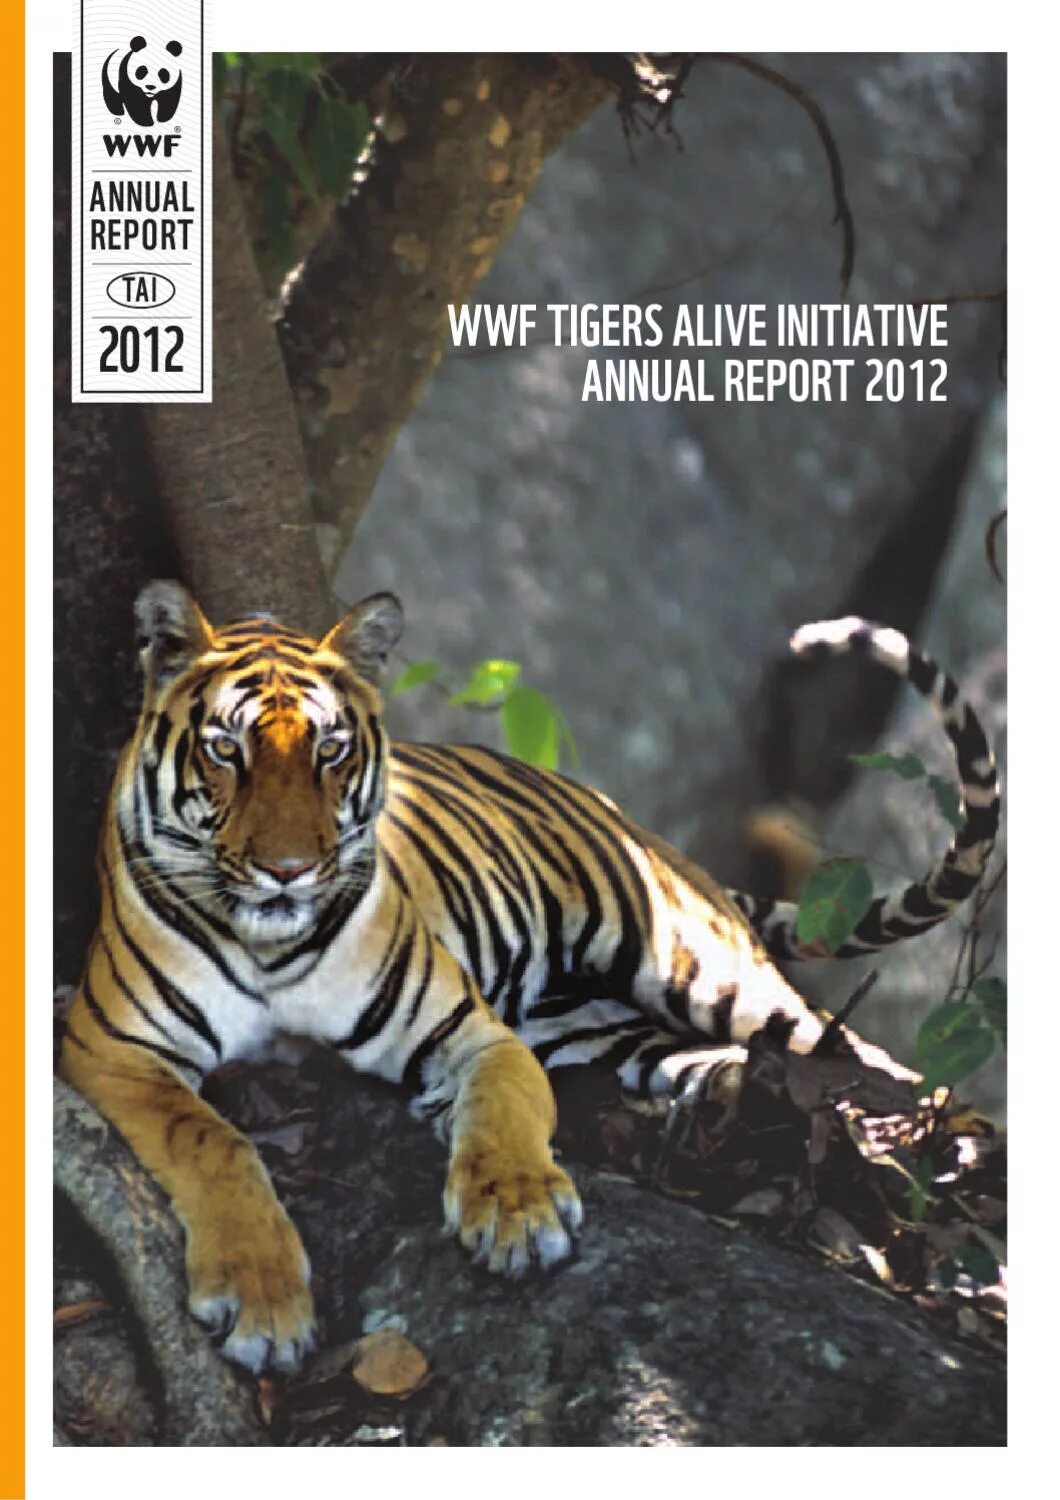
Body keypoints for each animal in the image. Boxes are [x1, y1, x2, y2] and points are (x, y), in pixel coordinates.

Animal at [59, 581, 1001, 1374]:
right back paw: (739, 1117)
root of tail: (632, 818)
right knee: (725, 1068)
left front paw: (516, 1214)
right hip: (601, 1029)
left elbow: (506, 1105)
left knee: (889, 1073)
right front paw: (262, 1302)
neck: (270, 944)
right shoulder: (113, 1046)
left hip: (712, 972)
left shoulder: (472, 1031)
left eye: (329, 750)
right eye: (227, 750)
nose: (289, 871)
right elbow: (215, 1141)